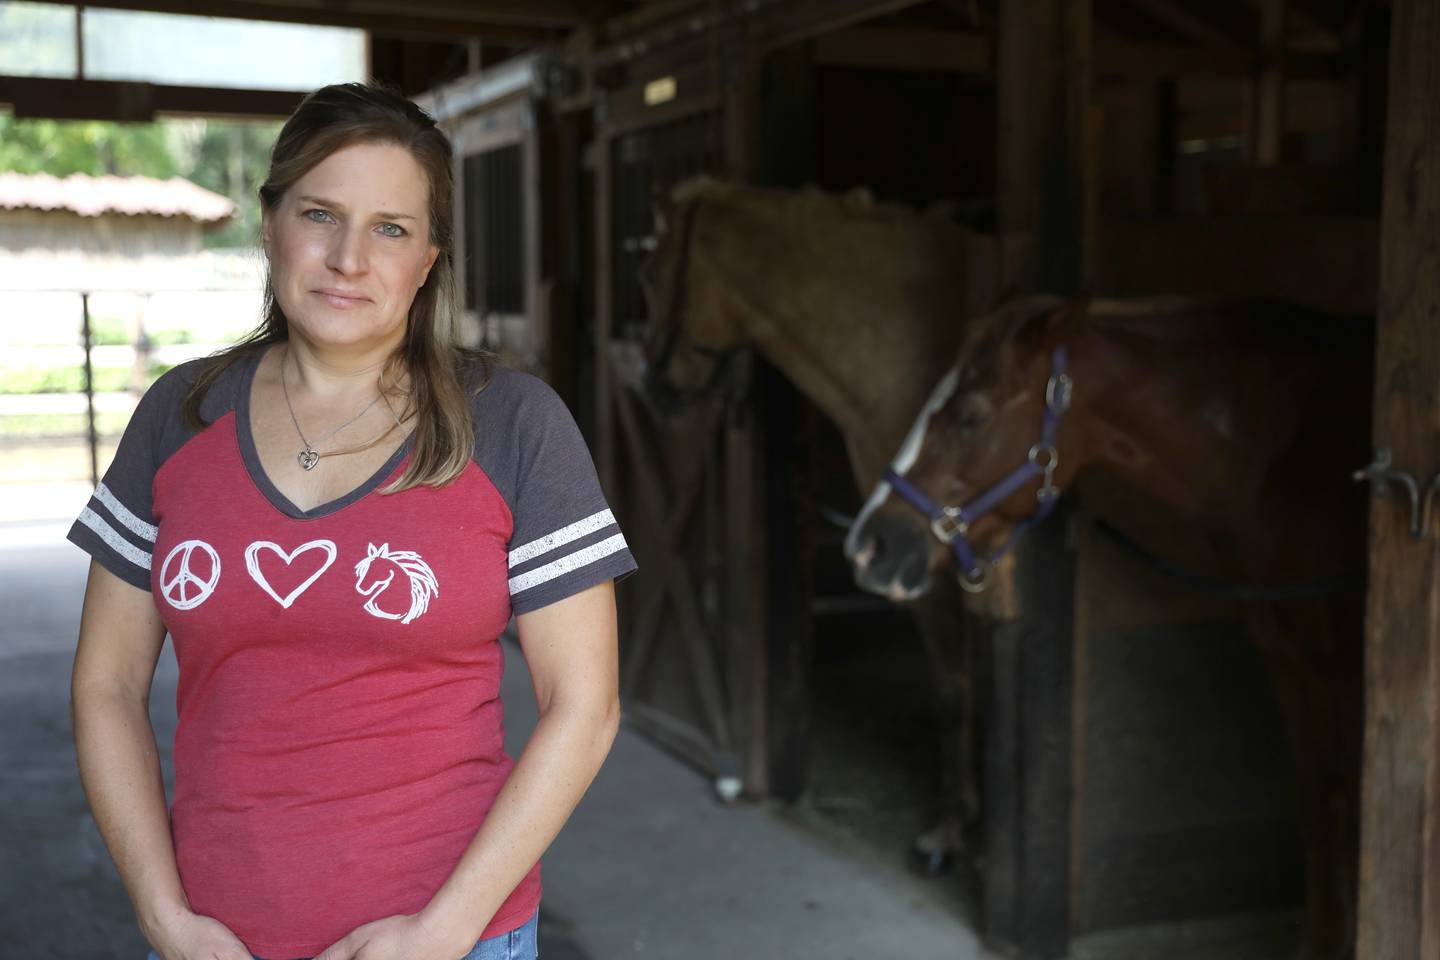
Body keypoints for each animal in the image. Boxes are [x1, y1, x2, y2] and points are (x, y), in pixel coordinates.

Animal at [840, 296, 1370, 955]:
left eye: (970, 415)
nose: (868, 546)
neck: (1291, 459)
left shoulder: (1350, 680)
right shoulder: (1292, 666)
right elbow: (1322, 803)